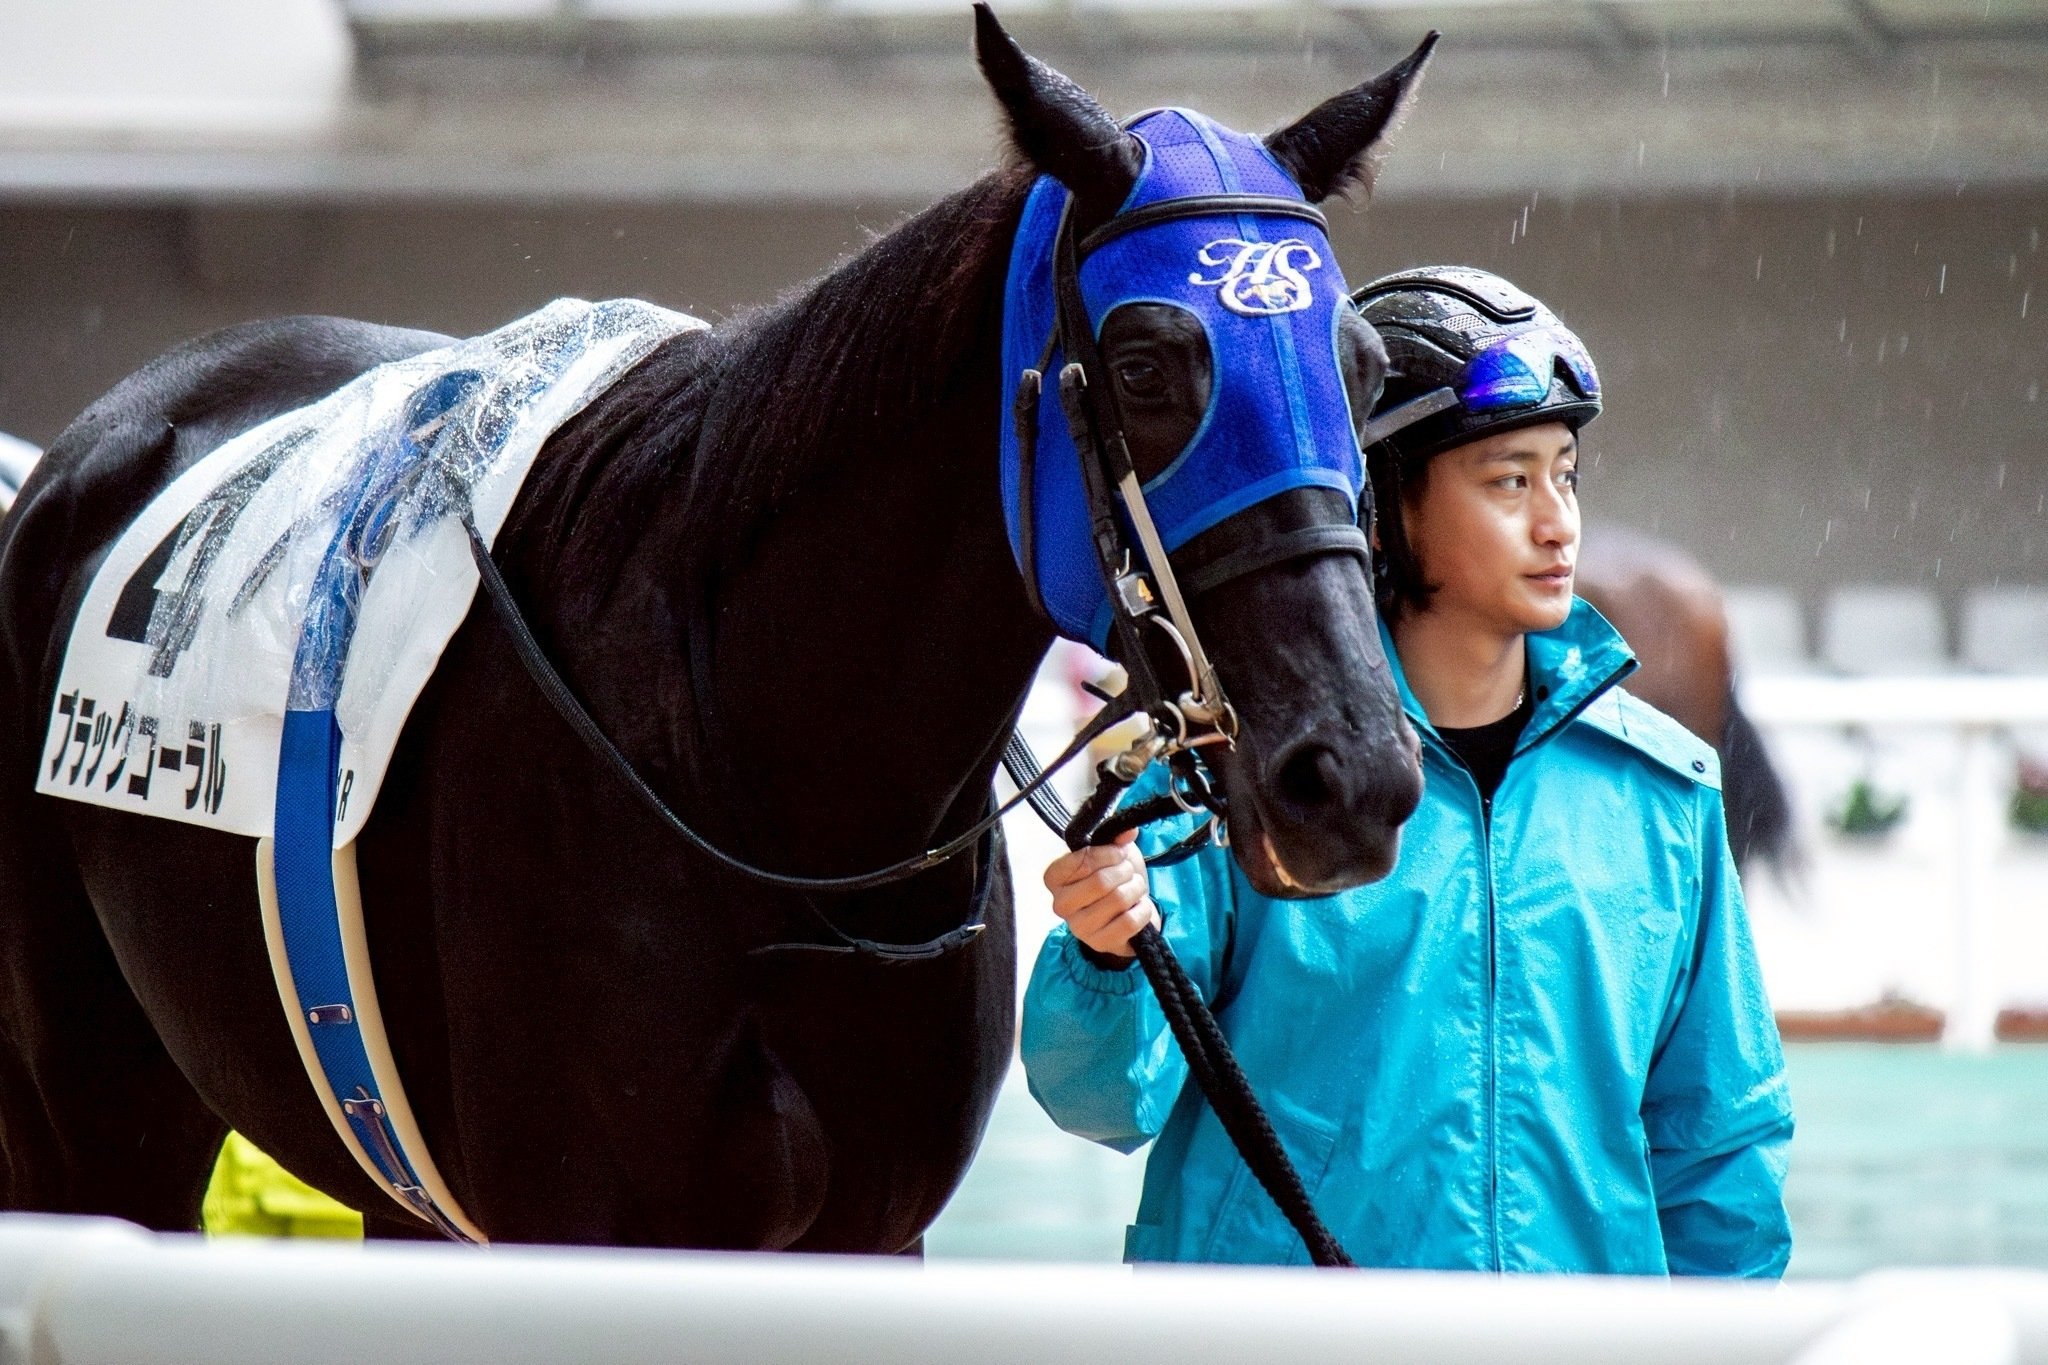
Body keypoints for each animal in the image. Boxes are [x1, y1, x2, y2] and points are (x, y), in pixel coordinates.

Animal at [0, 9, 1429, 1252]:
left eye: (1359, 370)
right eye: (1141, 369)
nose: (1348, 773)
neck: (749, 778)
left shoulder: (866, 1234)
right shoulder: (581, 1218)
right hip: (90, 1121)